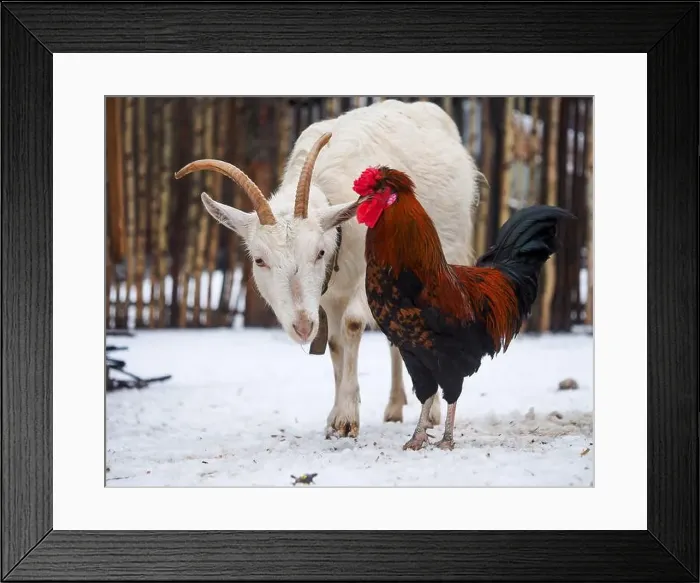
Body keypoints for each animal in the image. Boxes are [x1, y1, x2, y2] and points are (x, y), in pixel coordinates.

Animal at [175, 99, 482, 439]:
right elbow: (335, 343)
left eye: (319, 252)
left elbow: (352, 325)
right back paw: (395, 406)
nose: (302, 327)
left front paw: (347, 418)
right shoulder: (327, 295)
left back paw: (433, 412)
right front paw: (335, 417)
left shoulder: (369, 277)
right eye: (259, 260)